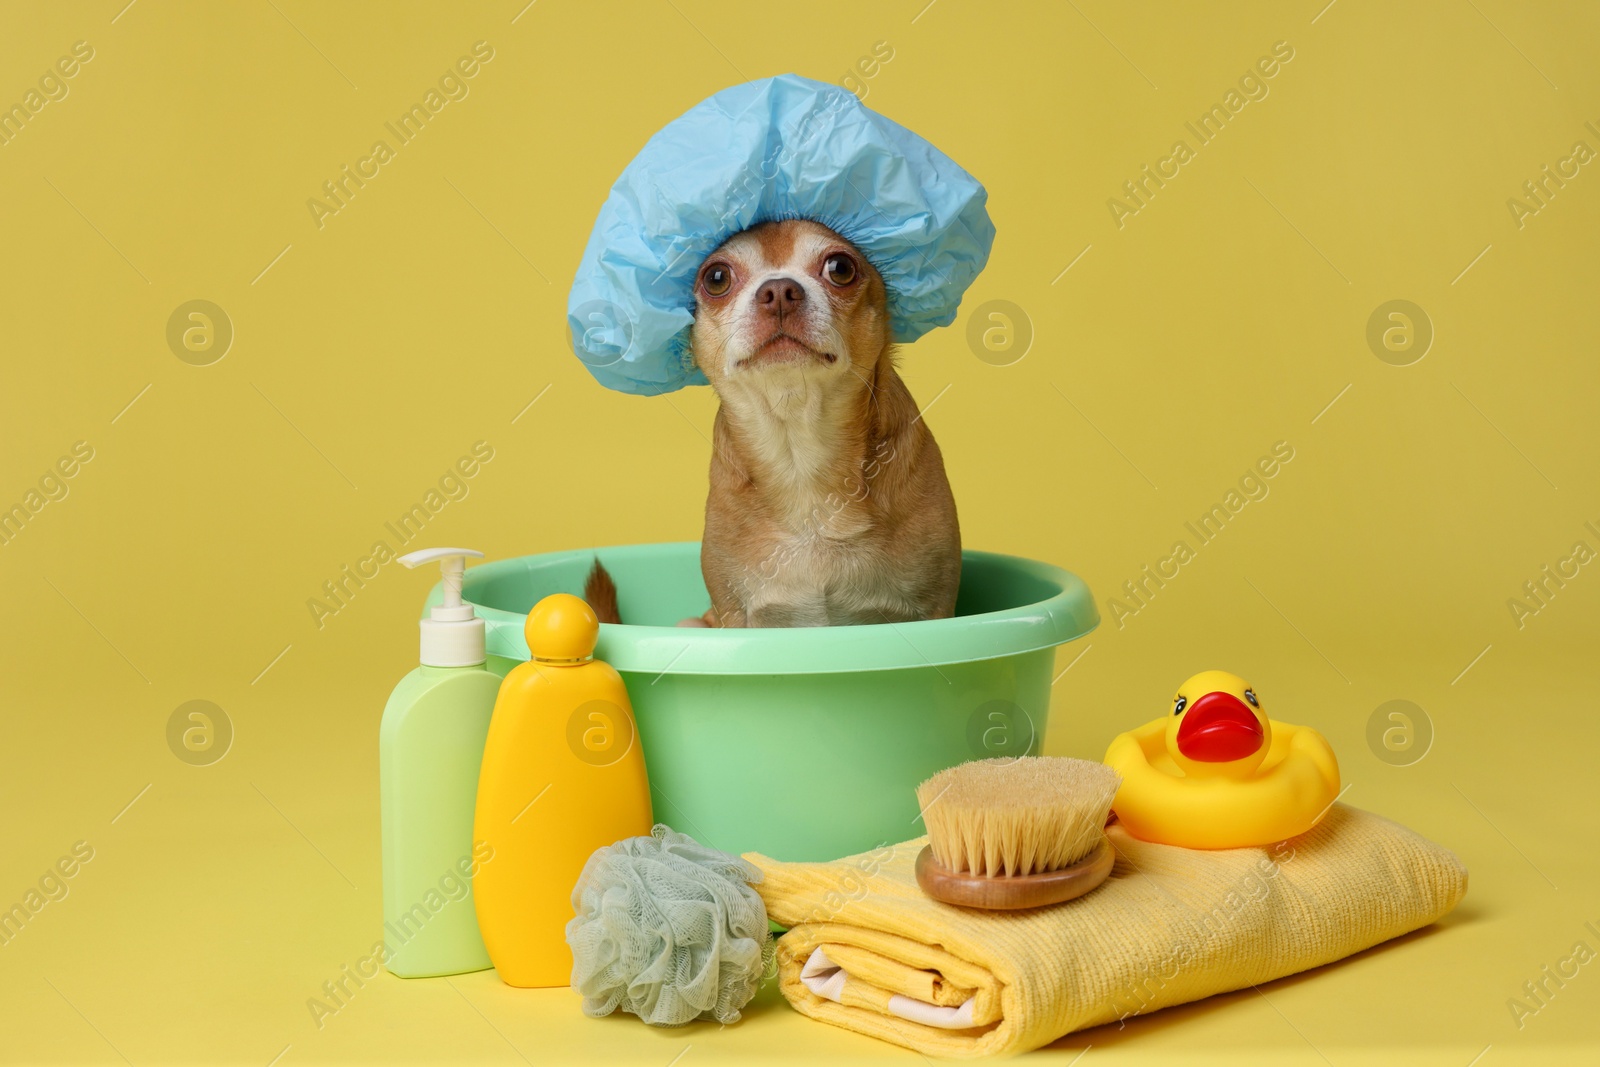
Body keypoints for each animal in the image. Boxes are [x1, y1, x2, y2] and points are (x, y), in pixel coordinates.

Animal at [592, 220, 953, 630]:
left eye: (841, 269)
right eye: (716, 278)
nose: (779, 290)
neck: (799, 448)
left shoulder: (936, 609)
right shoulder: (735, 616)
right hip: (694, 624)